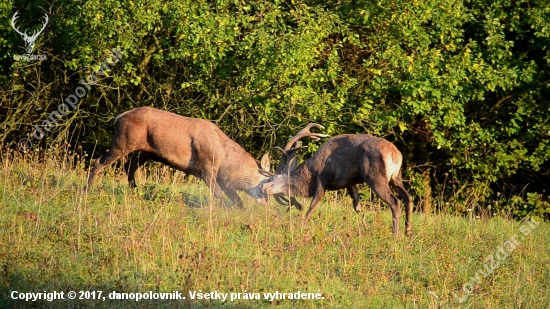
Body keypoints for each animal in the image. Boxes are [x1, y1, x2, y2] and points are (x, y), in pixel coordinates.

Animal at [85, 107, 272, 206]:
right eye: (265, 182)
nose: (266, 201)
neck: (225, 162)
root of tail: (117, 118)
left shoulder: (220, 177)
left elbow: (238, 200)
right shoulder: (205, 168)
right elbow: (220, 195)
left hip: (145, 151)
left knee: (128, 167)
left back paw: (136, 192)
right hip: (122, 142)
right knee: (99, 162)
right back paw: (86, 191)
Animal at [264, 124, 414, 235]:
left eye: (276, 179)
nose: (265, 188)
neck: (310, 174)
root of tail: (395, 154)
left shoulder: (323, 179)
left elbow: (312, 205)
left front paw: (301, 227)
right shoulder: (349, 183)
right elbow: (357, 207)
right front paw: (365, 227)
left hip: (376, 177)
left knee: (395, 201)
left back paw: (395, 234)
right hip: (396, 177)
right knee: (408, 197)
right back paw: (408, 231)